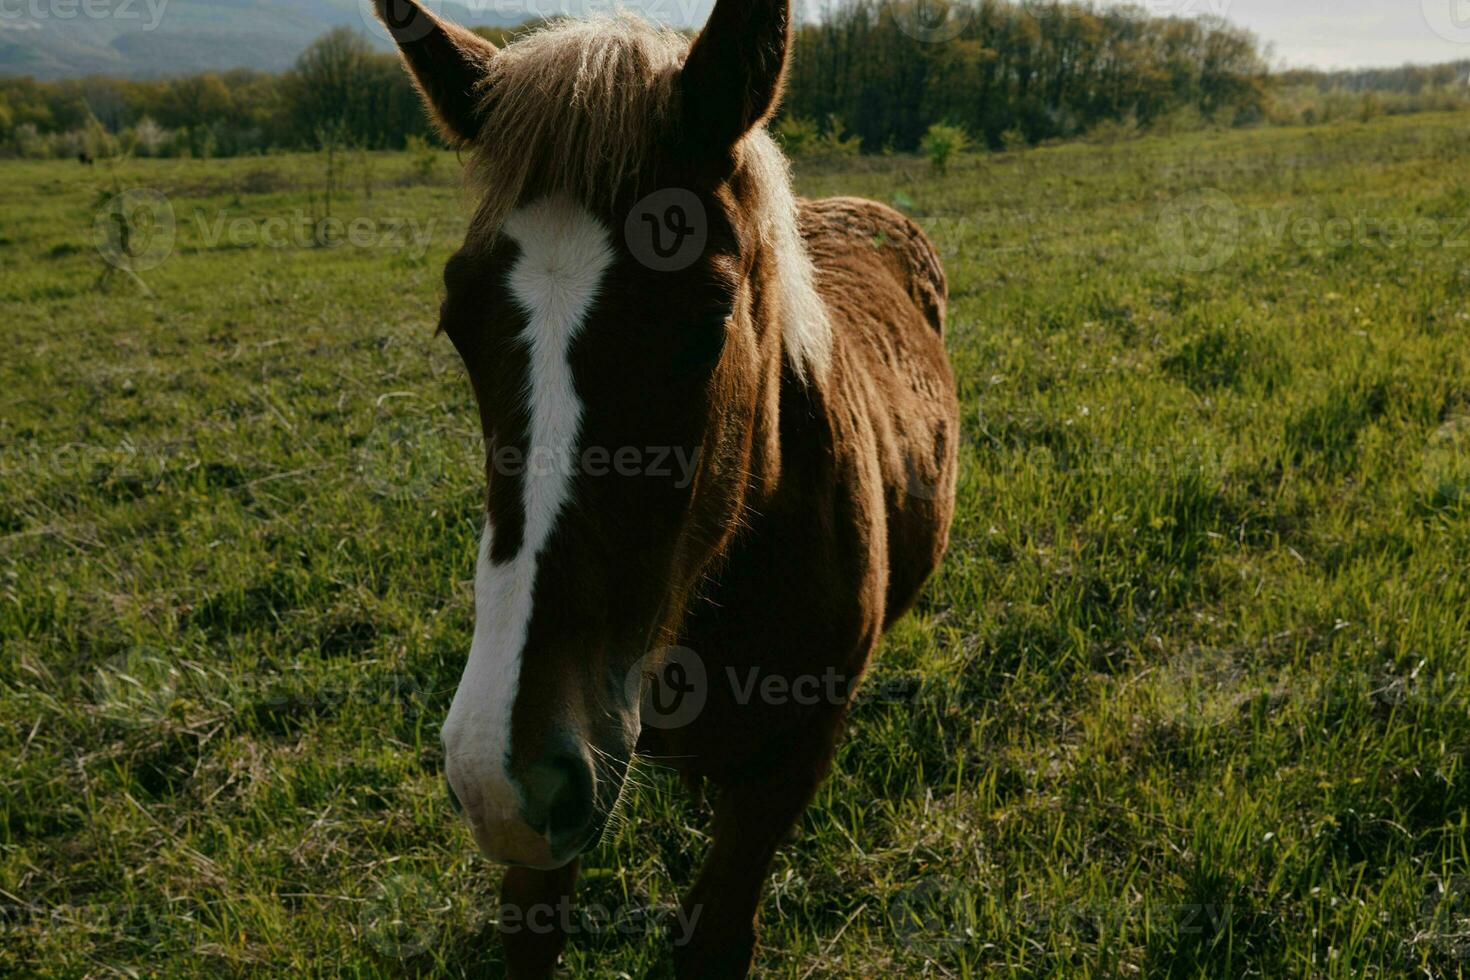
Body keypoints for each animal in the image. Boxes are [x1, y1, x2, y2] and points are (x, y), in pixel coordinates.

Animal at [373, 3, 958, 975]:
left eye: (709, 321)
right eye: (458, 322)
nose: (503, 773)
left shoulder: (782, 772)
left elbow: (715, 933)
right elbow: (530, 922)